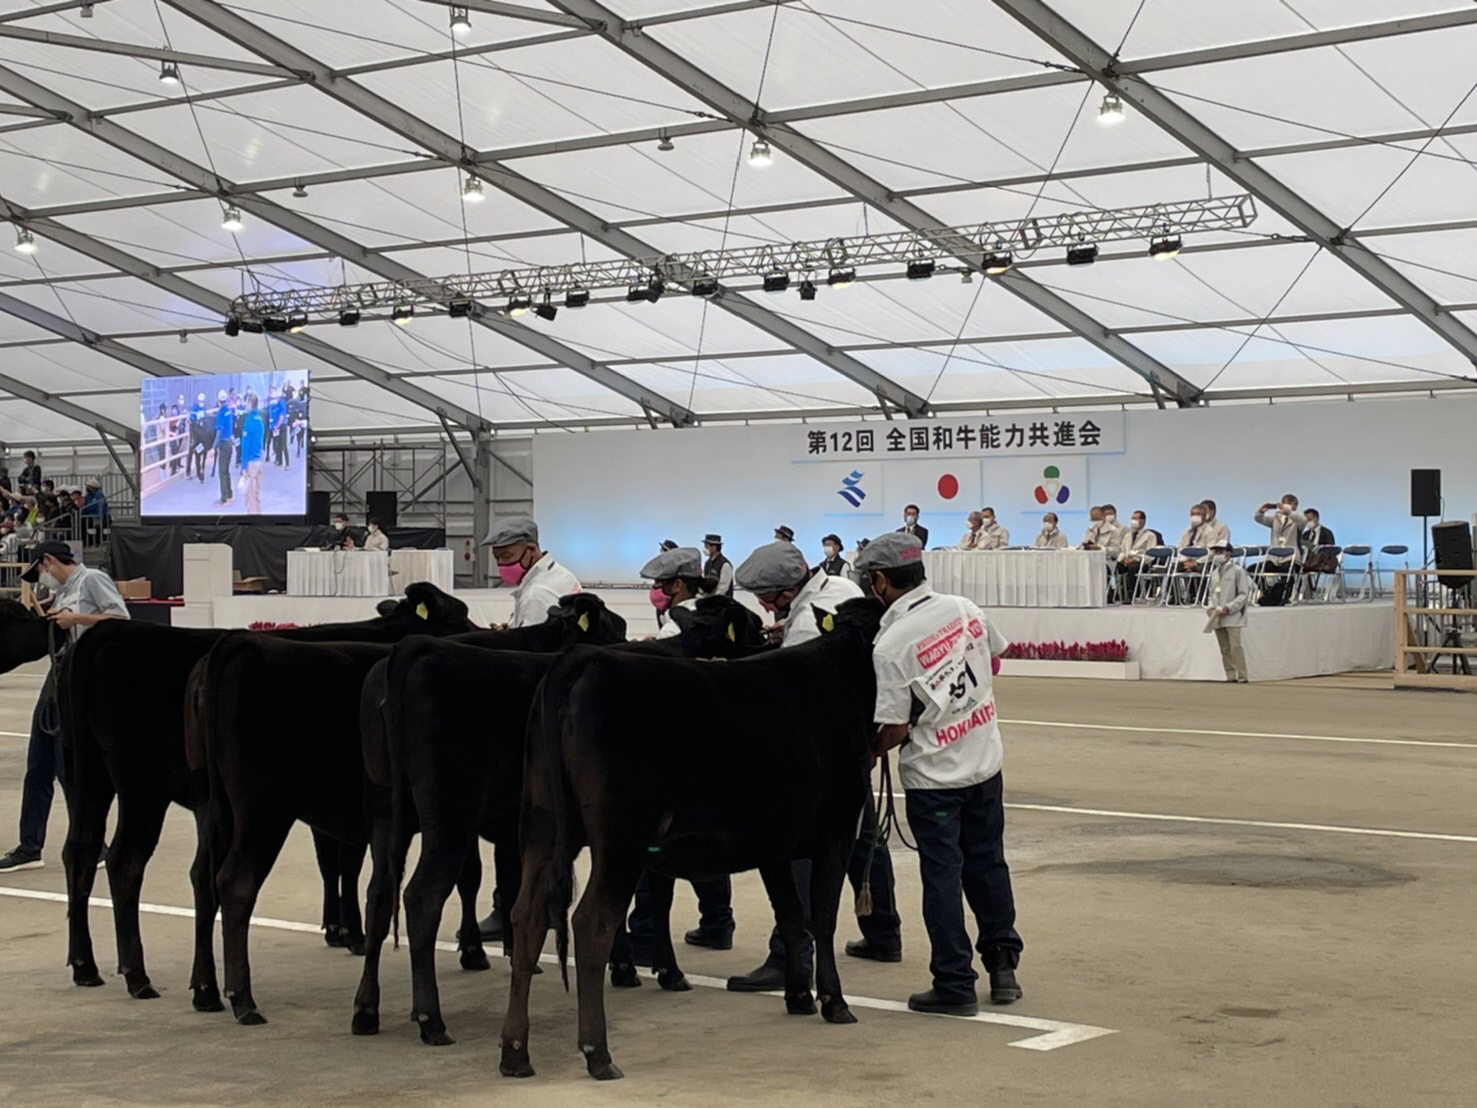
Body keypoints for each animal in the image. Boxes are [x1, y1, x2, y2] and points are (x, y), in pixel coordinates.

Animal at [54, 585, 472, 1010]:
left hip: (87, 777)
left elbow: (331, 863)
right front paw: (351, 932)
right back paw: (138, 975)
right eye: (459, 613)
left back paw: (86, 965)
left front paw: (335, 928)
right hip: (145, 787)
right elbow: (348, 863)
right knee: (126, 862)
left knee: (81, 852)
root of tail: (106, 633)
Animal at [200, 593, 623, 1028]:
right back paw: (246, 999)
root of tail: (243, 643)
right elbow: (493, 878)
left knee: (216, 879)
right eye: (611, 626)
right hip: (266, 810)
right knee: (238, 882)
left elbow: (483, 878)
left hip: (237, 811)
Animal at [350, 593, 756, 1045]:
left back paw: (366, 1010)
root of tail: (414, 650)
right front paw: (667, 971)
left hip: (385, 808)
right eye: (750, 623)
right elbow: (658, 898)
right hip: (449, 815)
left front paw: (623, 967)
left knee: (378, 893)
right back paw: (431, 1021)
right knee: (421, 897)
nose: (767, 637)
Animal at [502, 599, 880, 1087]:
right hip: (620, 838)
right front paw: (834, 1002)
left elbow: (791, 915)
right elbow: (824, 917)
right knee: (592, 922)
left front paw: (798, 995)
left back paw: (515, 1052)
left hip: (542, 827)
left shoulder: (776, 843)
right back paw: (597, 1053)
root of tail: (583, 658)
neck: (838, 678)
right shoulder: (837, 832)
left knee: (527, 917)